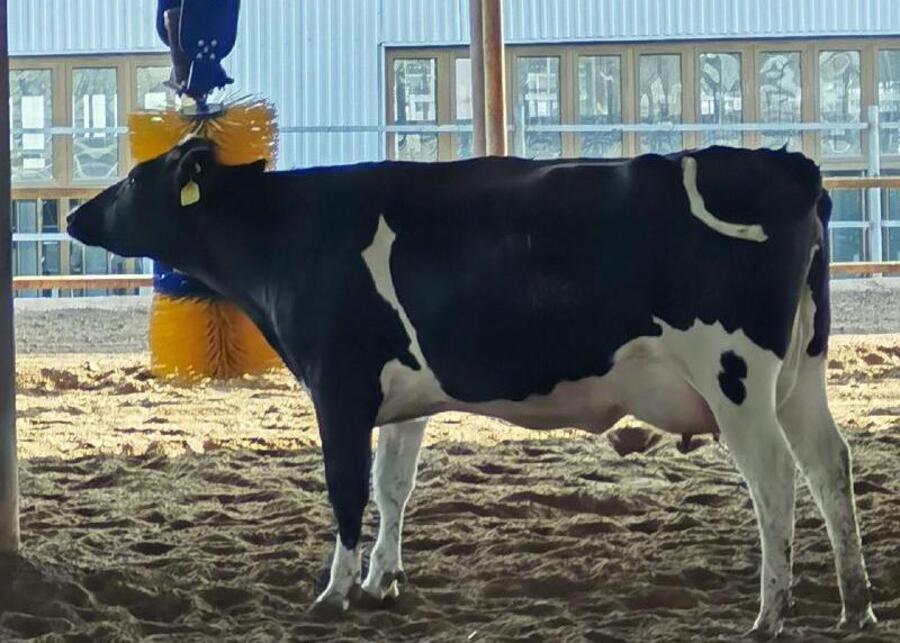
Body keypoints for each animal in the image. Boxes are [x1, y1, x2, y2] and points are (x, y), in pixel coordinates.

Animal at [67, 138, 876, 636]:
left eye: (136, 177)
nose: (75, 214)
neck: (289, 233)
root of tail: (788, 166)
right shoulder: (400, 399)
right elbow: (393, 485)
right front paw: (382, 581)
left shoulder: (338, 386)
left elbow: (345, 488)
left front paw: (334, 591)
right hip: (802, 373)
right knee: (830, 465)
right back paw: (855, 605)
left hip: (736, 377)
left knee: (775, 480)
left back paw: (770, 615)